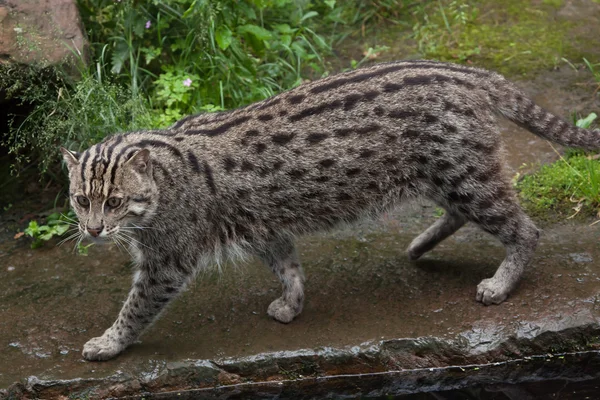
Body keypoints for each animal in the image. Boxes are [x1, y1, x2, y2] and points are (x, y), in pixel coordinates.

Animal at [62, 60, 600, 362]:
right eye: (80, 199)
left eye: (113, 201)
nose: (92, 231)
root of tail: (466, 71)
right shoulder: (262, 225)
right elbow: (288, 266)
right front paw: (292, 303)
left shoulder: (167, 261)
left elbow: (135, 307)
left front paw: (108, 343)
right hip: (444, 177)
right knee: (465, 214)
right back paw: (420, 244)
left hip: (465, 175)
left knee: (525, 228)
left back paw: (501, 282)